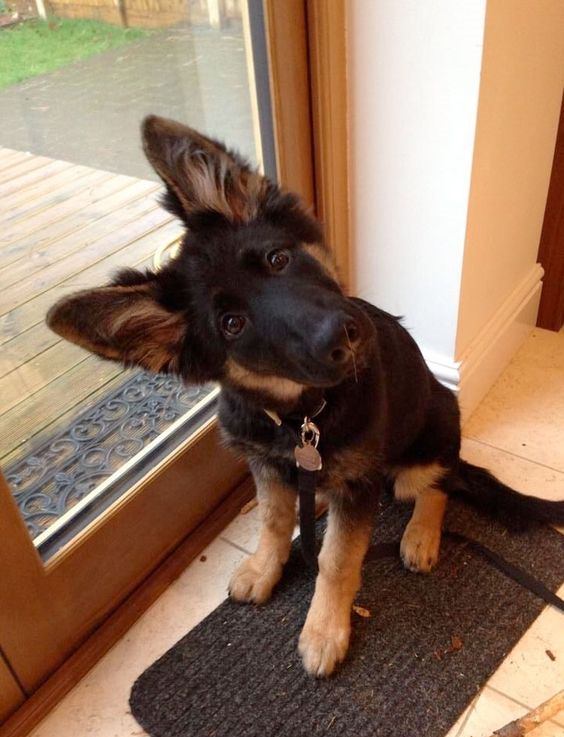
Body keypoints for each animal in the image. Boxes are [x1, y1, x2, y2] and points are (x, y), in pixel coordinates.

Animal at [48, 118, 564, 676]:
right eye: (232, 324)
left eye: (278, 258)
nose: (346, 336)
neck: (303, 415)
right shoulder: (265, 462)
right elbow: (274, 520)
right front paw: (264, 566)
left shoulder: (357, 484)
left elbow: (337, 558)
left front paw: (324, 630)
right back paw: (313, 504)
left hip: (430, 439)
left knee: (437, 485)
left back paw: (420, 534)